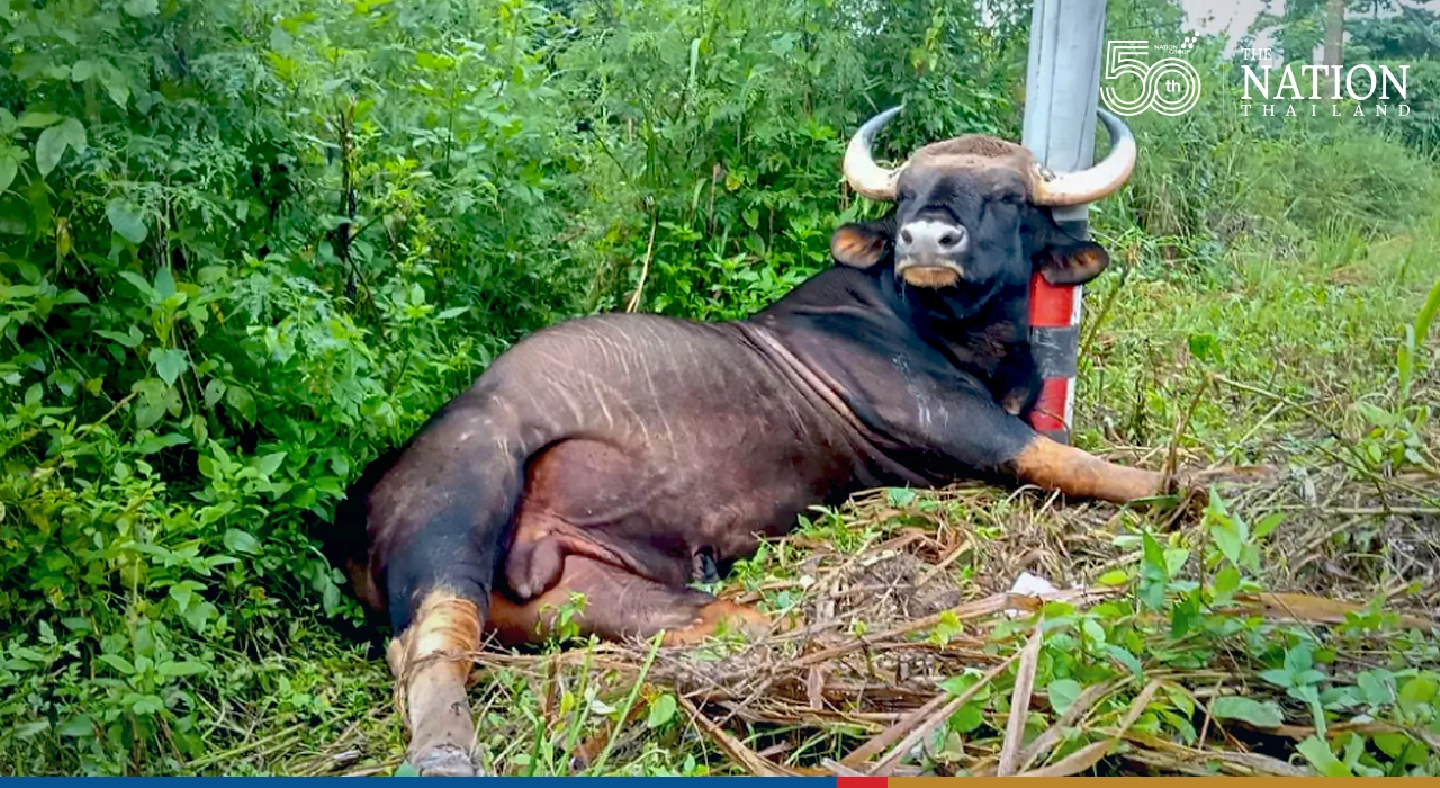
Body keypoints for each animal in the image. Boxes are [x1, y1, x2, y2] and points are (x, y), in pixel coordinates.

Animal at [324, 106, 1193, 776]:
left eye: (1009, 198)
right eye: (906, 193)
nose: (925, 240)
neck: (956, 333)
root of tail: (360, 503)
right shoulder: (958, 422)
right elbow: (1066, 459)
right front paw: (1196, 483)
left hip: (586, 593)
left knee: (718, 622)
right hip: (465, 493)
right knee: (432, 640)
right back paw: (446, 750)